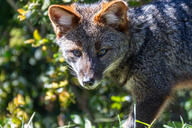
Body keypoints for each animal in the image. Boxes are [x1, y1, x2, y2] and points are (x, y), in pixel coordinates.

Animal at [48, 0, 192, 127]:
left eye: (102, 51)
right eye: (77, 53)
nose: (88, 81)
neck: (143, 41)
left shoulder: (153, 93)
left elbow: (133, 125)